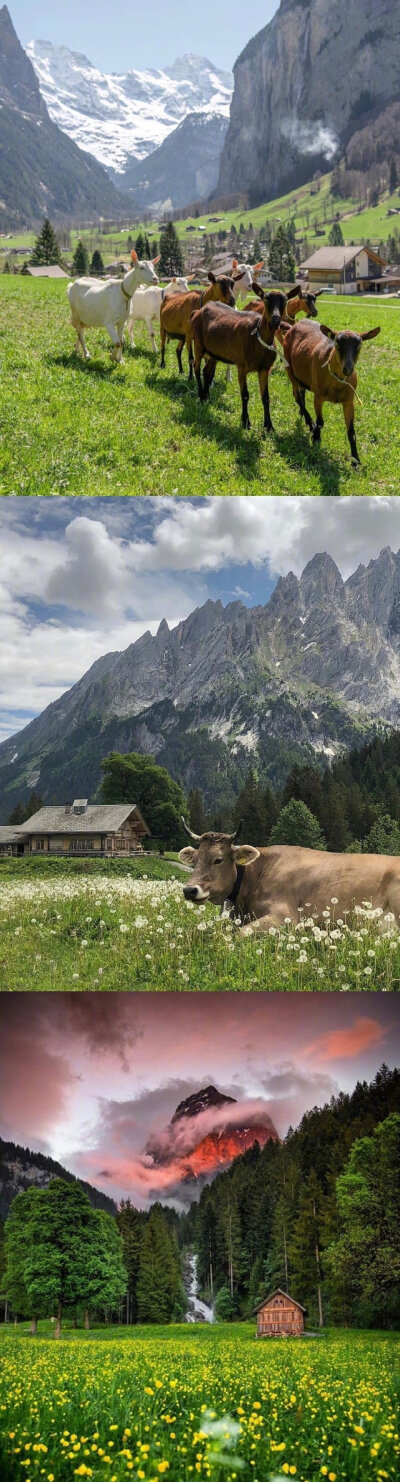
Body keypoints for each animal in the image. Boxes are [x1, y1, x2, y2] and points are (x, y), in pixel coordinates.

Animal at [191, 281, 281, 432]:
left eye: (285, 300)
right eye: (266, 299)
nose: (276, 319)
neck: (258, 337)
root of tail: (198, 311)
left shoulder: (265, 369)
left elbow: (266, 397)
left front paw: (269, 426)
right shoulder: (242, 367)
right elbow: (245, 395)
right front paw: (245, 422)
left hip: (214, 352)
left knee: (207, 372)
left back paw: (207, 397)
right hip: (198, 345)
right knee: (197, 368)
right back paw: (201, 395)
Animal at [282, 318, 379, 462]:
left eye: (359, 345)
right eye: (337, 343)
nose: (348, 369)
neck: (337, 382)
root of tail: (292, 326)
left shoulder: (349, 402)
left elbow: (351, 432)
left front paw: (356, 460)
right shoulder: (318, 396)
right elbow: (320, 422)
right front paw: (316, 439)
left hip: (301, 372)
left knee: (301, 391)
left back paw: (304, 417)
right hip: (289, 368)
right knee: (296, 395)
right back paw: (310, 423)